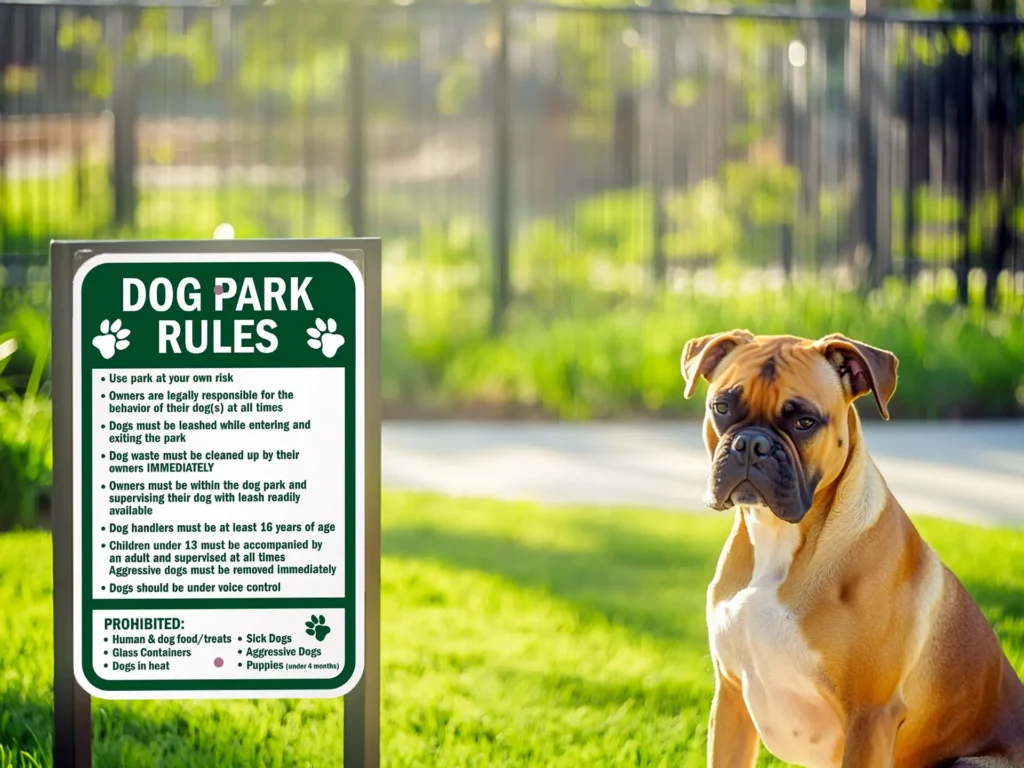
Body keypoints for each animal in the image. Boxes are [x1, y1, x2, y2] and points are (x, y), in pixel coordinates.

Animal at [679, 331, 1024, 768]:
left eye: (805, 422)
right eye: (721, 407)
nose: (751, 444)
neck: (779, 539)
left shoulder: (870, 718)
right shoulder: (731, 701)